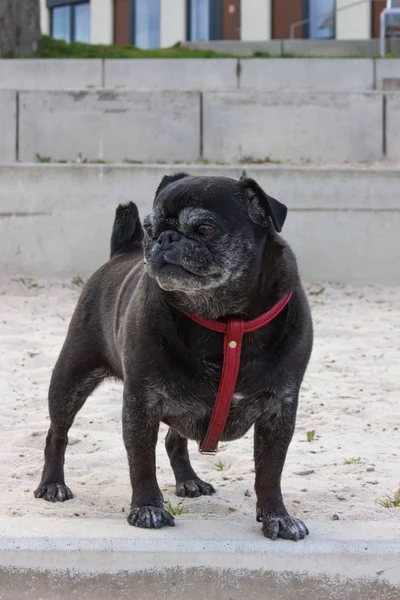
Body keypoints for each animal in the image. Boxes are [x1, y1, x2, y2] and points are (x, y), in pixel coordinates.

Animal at [34, 172, 314, 540]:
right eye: (150, 229)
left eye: (205, 229)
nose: (164, 237)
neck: (225, 320)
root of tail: (120, 253)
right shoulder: (141, 404)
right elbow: (141, 464)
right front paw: (147, 508)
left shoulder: (279, 409)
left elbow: (270, 472)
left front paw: (277, 516)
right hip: (71, 379)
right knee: (58, 433)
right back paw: (52, 484)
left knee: (174, 440)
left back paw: (189, 480)